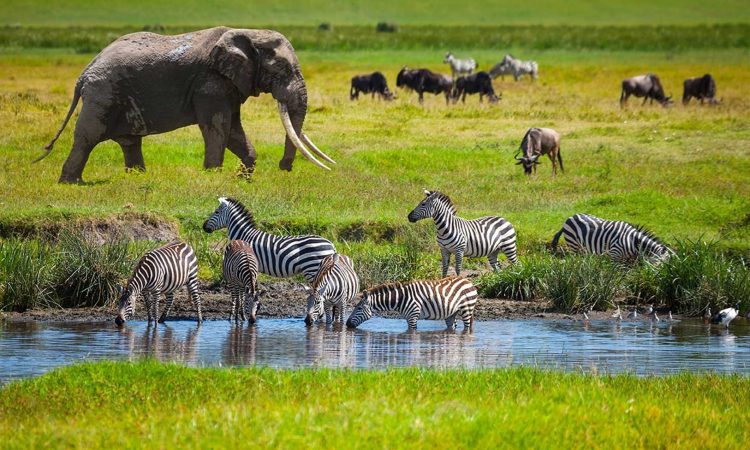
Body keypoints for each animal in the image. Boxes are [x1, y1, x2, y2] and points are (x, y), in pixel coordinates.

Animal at [37, 27, 335, 183]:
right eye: (282, 69)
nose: (285, 168)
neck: (248, 33)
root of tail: (84, 73)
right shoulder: (210, 84)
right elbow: (218, 127)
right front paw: (214, 176)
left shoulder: (229, 85)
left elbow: (233, 130)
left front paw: (243, 177)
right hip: (102, 94)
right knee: (87, 137)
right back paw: (71, 183)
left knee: (130, 141)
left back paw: (138, 178)